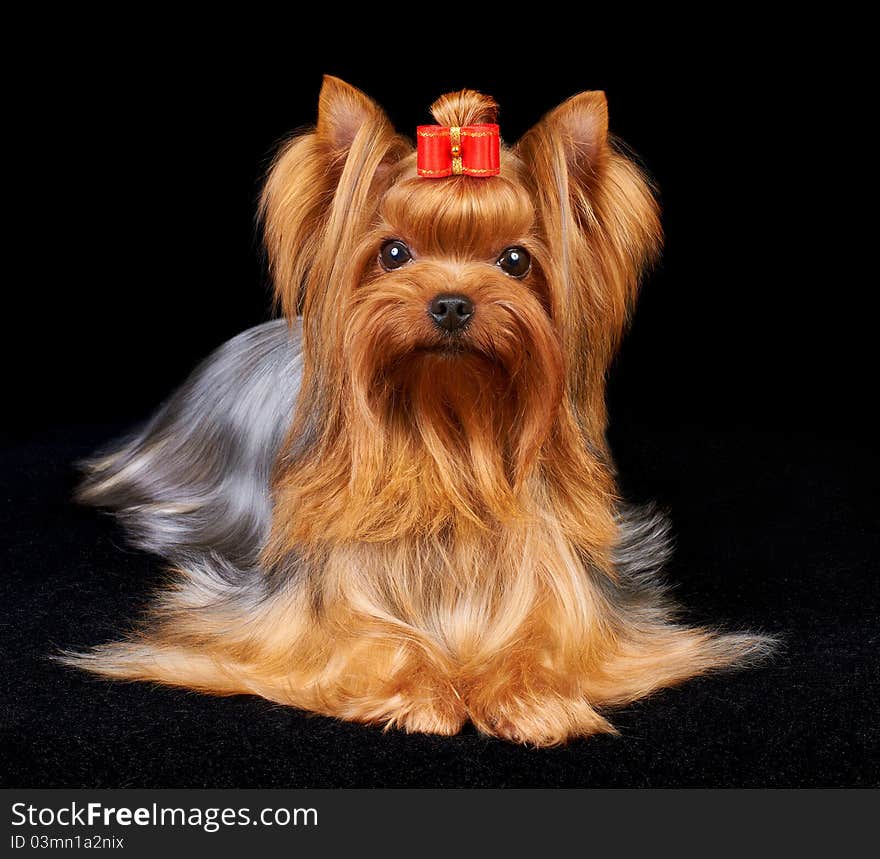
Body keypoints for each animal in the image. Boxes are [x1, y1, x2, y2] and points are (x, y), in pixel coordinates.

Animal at [67, 75, 768, 744]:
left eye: (515, 260)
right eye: (395, 252)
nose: (451, 304)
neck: (447, 433)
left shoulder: (569, 588)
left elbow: (548, 637)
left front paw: (529, 698)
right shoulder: (293, 612)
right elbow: (361, 639)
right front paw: (425, 694)